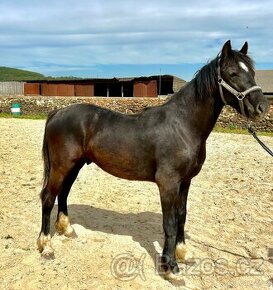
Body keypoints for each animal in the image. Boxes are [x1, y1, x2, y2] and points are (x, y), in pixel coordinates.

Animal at [36, 40, 268, 278]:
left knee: (63, 193)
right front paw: (170, 267)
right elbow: (170, 222)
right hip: (62, 166)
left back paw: (67, 229)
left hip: (75, 165)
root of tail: (57, 113)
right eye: (232, 73)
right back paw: (46, 246)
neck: (182, 126)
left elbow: (182, 215)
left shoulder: (185, 182)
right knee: (48, 197)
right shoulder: (168, 184)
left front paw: (183, 253)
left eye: (252, 72)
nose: (262, 107)